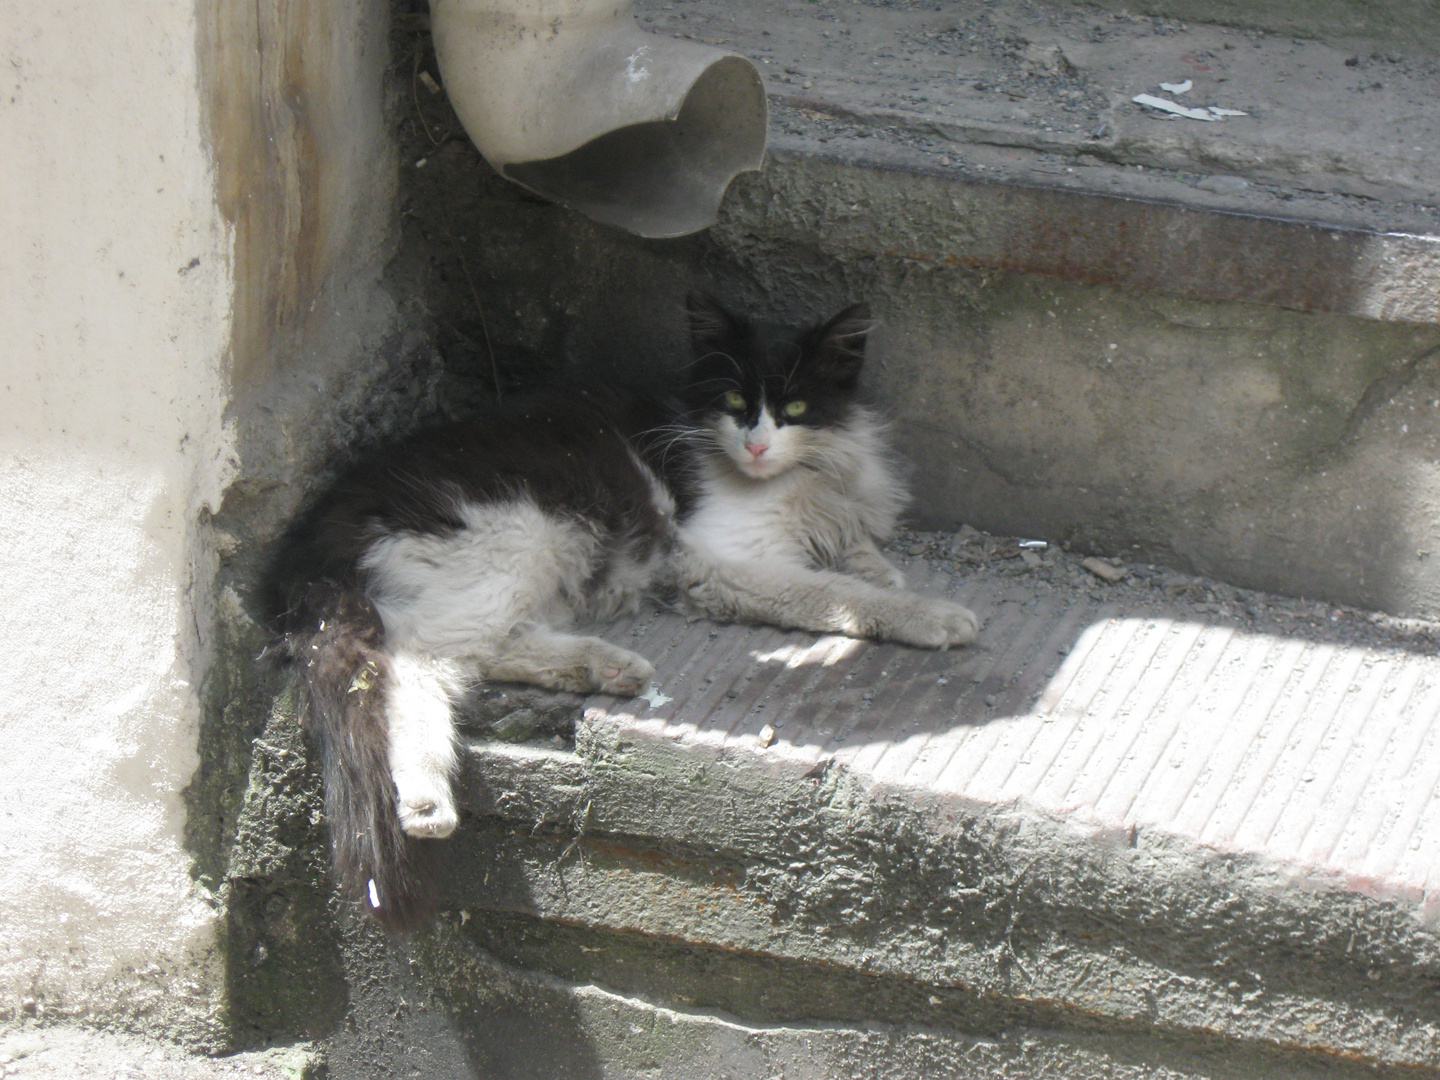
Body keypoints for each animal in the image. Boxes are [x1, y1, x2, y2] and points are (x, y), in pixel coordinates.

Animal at [269, 296, 979, 933]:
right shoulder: (719, 557)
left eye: (796, 408)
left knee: (482, 649)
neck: (799, 473)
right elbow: (836, 594)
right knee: (417, 661)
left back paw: (606, 668)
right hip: (515, 537)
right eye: (734, 403)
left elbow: (856, 555)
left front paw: (880, 567)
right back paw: (426, 798)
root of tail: (312, 541)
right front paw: (932, 614)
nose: (755, 446)